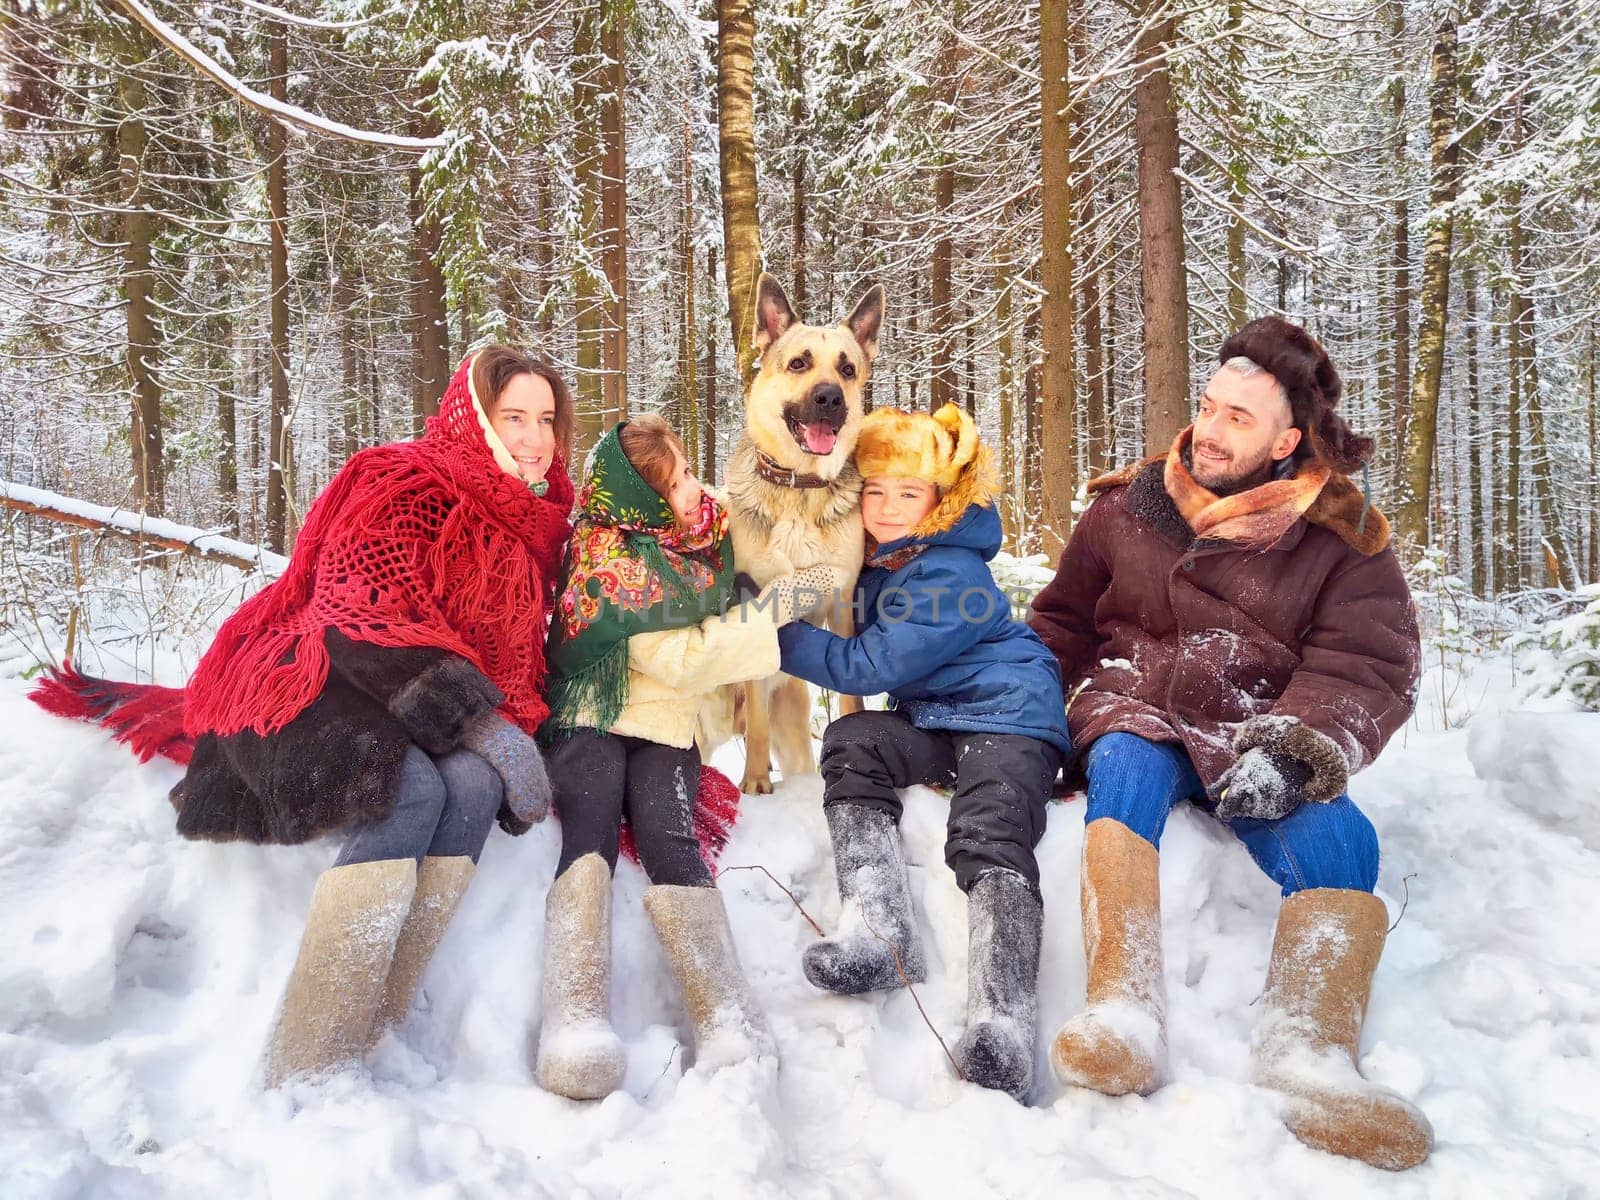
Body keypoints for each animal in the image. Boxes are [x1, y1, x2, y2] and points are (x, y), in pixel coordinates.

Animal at [716, 276, 889, 793]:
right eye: (799, 363)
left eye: (848, 369)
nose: (830, 398)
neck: (798, 487)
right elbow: (755, 722)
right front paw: (755, 782)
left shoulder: (842, 602)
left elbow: (850, 697)